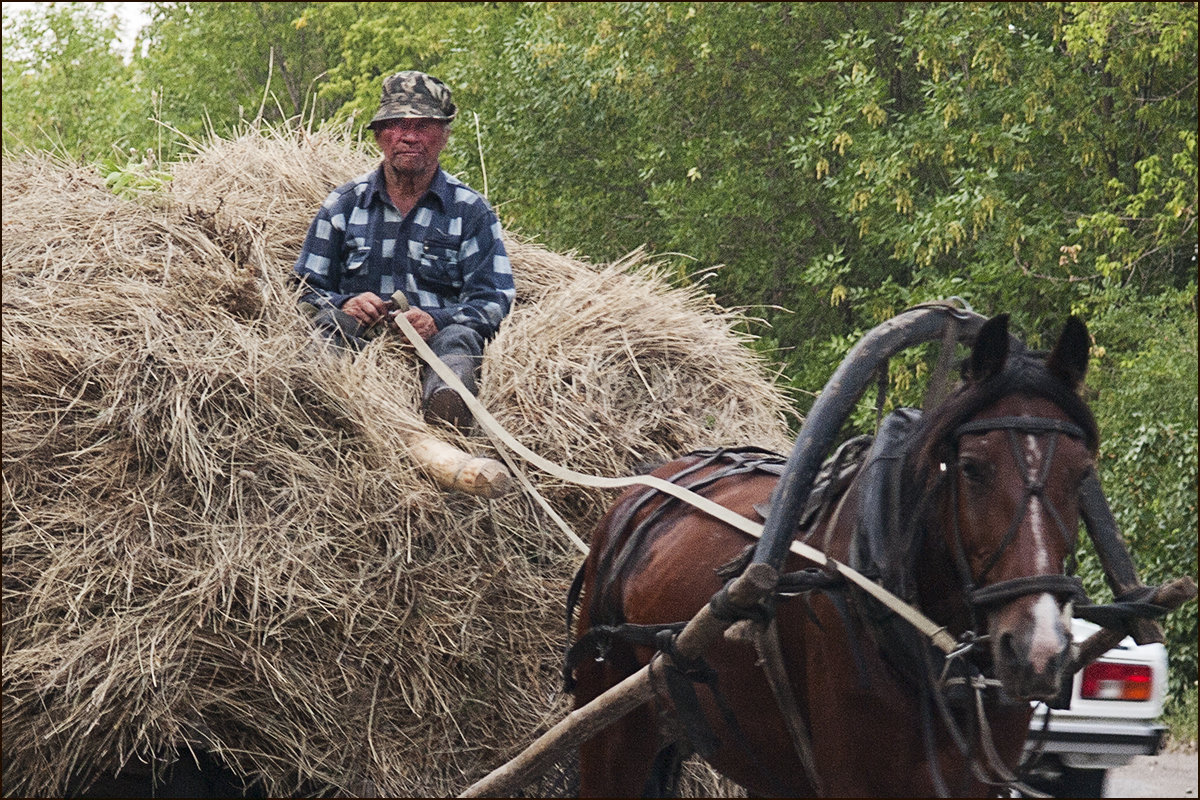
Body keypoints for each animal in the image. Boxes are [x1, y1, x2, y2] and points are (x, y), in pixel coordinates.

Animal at [566, 316, 1099, 796]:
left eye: (1082, 473)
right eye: (970, 467)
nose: (1038, 651)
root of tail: (651, 482)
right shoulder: (854, 778)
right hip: (611, 727)